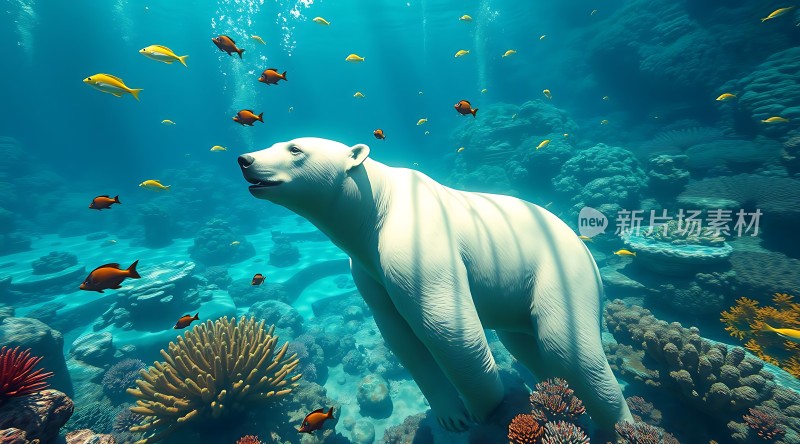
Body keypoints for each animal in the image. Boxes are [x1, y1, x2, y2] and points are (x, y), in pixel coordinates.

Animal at [238, 137, 633, 432]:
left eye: (294, 148)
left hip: (560, 271)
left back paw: (619, 427)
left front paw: (483, 406)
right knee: (523, 342)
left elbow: (443, 326)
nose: (245, 158)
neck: (376, 204)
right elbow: (399, 335)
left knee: (565, 348)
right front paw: (451, 415)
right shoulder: (367, 268)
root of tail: (585, 247)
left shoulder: (413, 240)